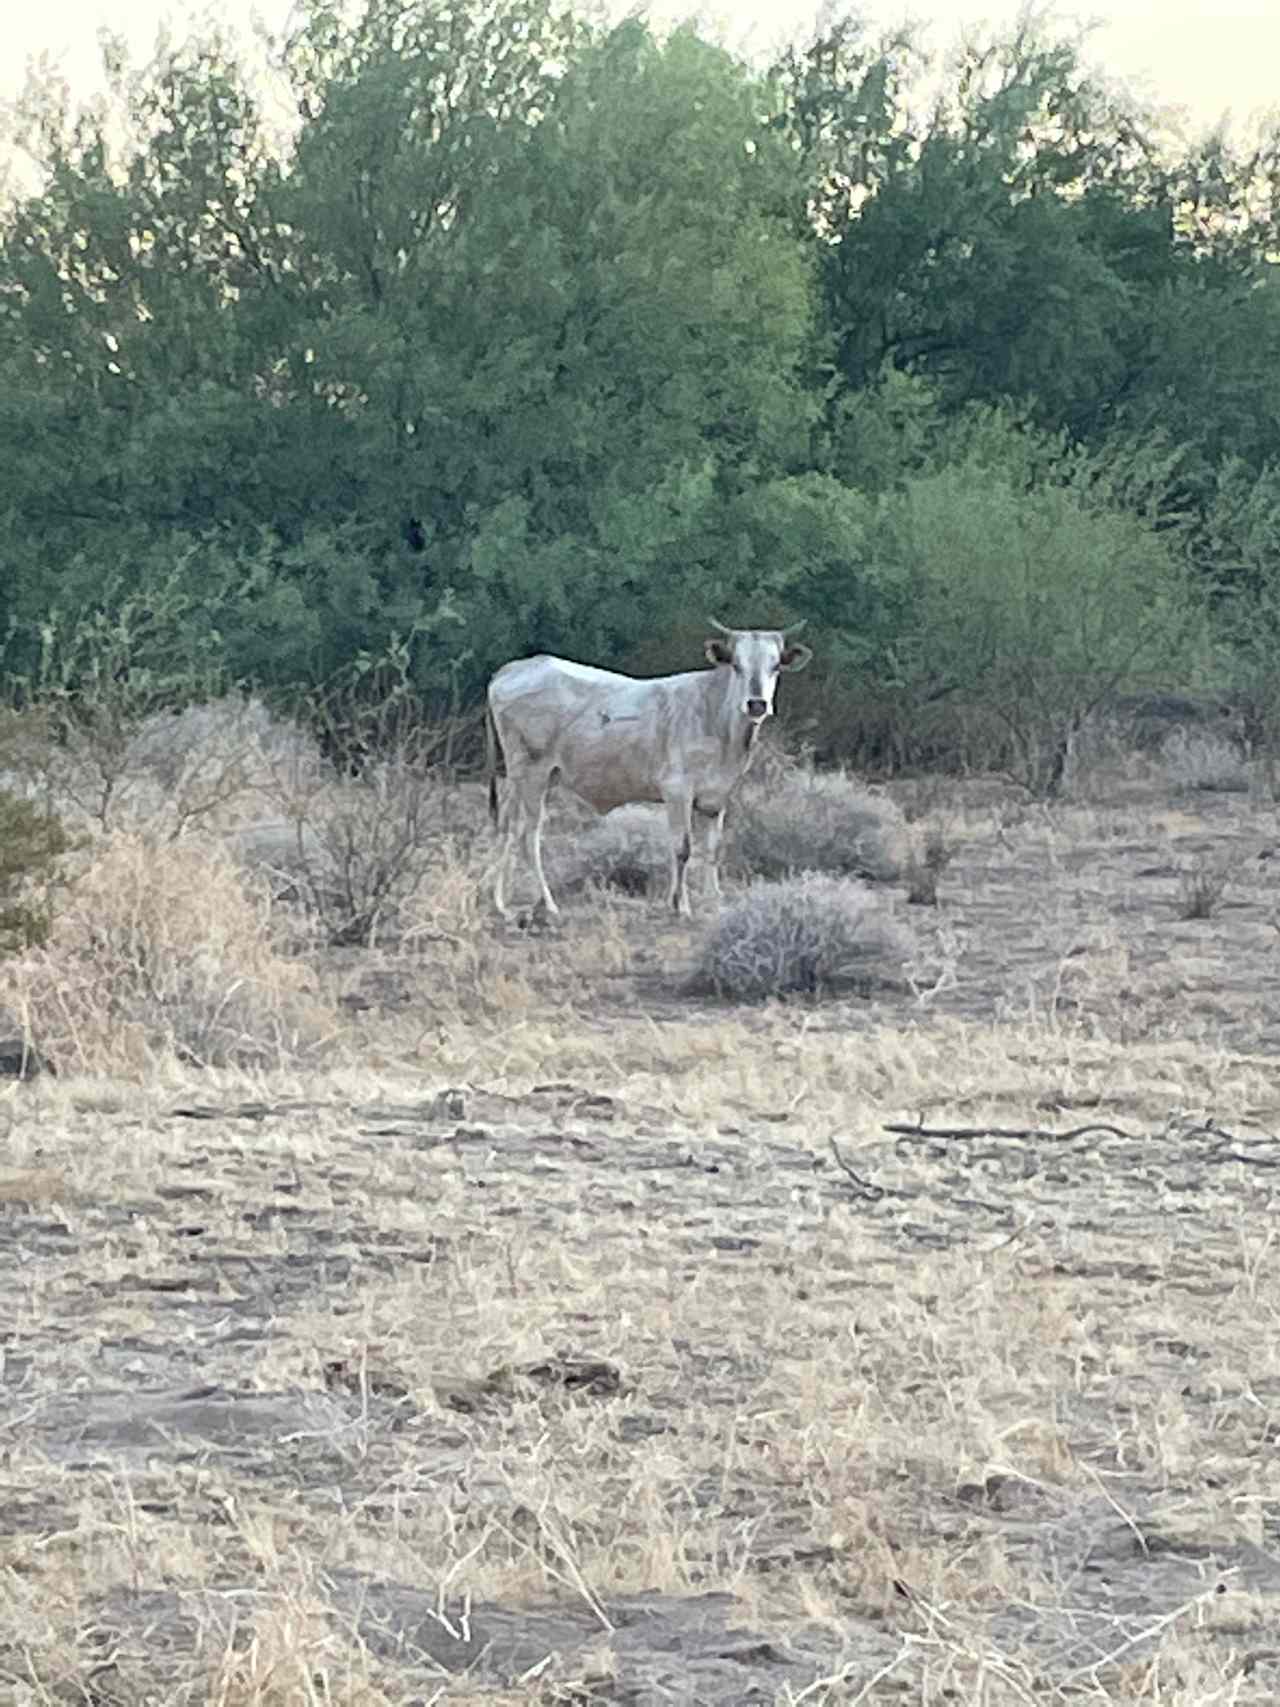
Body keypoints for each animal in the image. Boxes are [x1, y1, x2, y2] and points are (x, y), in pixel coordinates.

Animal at [484, 624, 812, 921]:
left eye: (775, 666)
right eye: (737, 665)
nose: (757, 703)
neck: (718, 723)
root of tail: (515, 668)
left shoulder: (716, 797)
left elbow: (713, 850)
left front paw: (714, 902)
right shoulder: (677, 790)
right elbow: (682, 848)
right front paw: (680, 905)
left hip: (517, 777)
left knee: (507, 828)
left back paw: (500, 903)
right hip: (532, 772)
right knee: (528, 836)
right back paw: (548, 904)